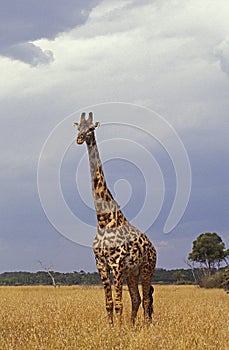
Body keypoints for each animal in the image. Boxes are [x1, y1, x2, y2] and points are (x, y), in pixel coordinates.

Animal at [74, 112, 157, 326]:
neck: (103, 220)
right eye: (78, 128)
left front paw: (118, 330)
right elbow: (109, 303)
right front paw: (111, 328)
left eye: (91, 128)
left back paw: (145, 326)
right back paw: (132, 326)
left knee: (146, 298)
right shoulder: (101, 265)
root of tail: (153, 247)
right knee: (136, 298)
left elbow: (119, 303)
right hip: (132, 272)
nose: (79, 139)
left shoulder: (117, 264)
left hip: (147, 268)